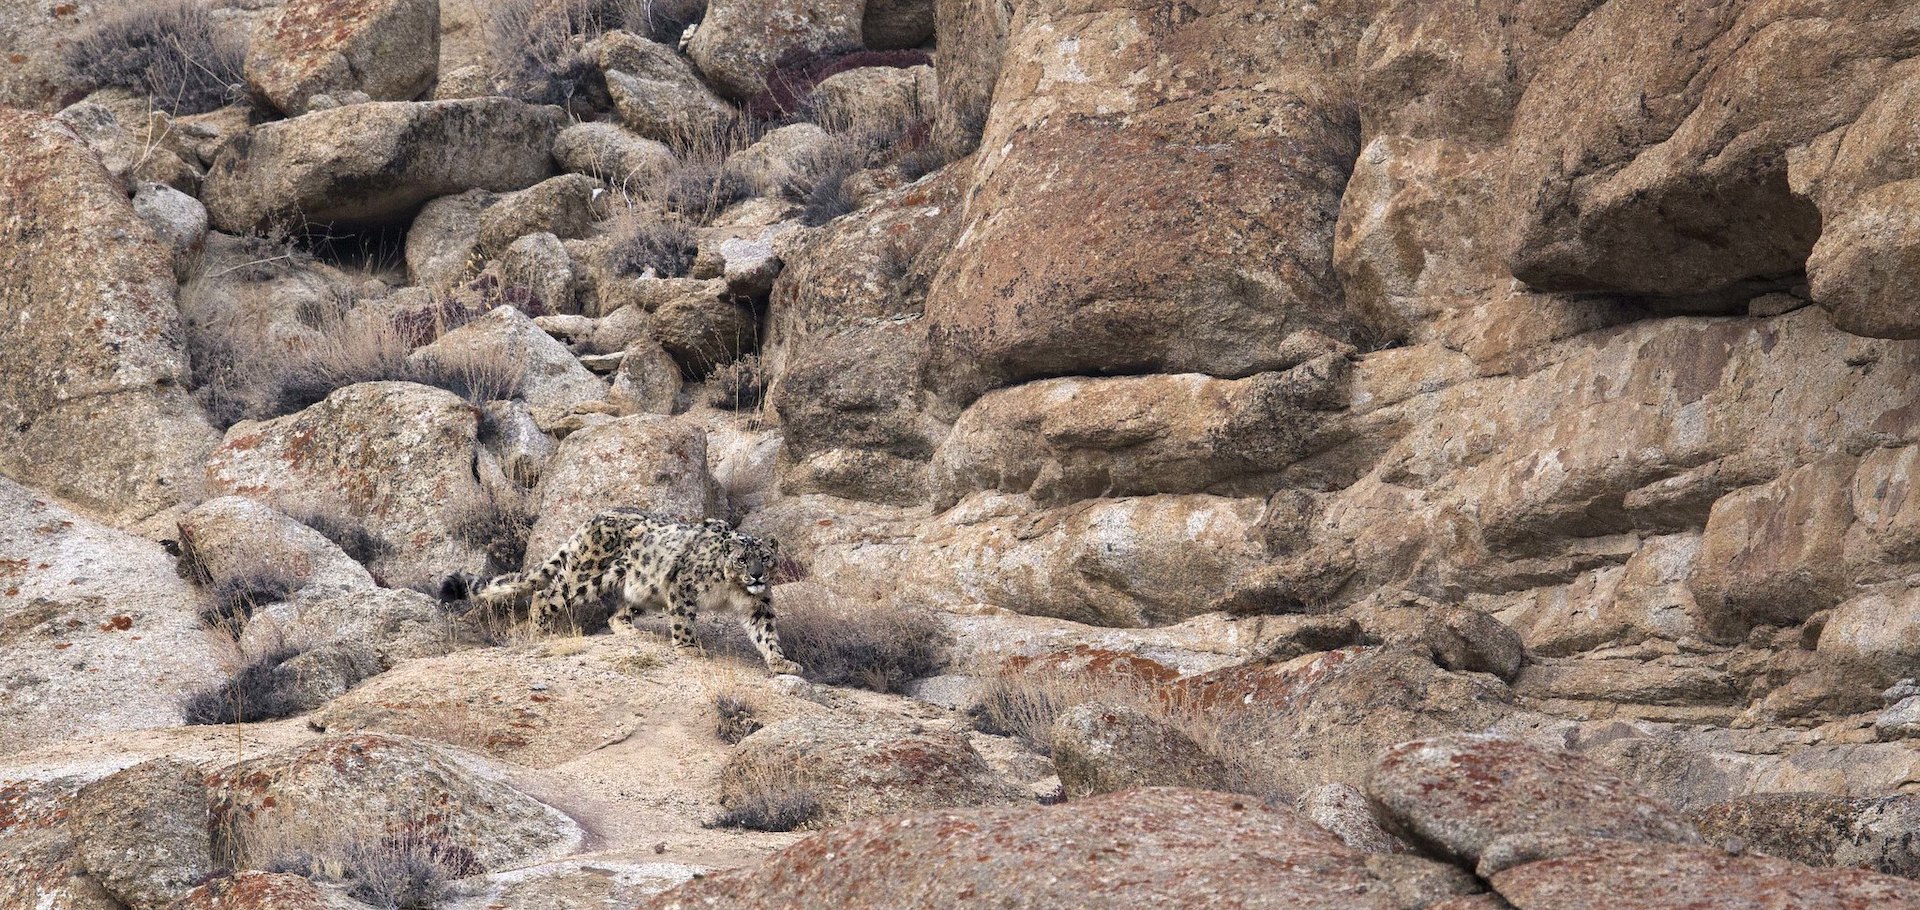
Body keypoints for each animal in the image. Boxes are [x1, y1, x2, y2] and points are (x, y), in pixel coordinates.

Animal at [442, 508, 802, 674]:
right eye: (742, 559)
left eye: (765, 558)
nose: (756, 575)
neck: (734, 590)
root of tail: (595, 517)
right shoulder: (684, 586)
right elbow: (684, 620)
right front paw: (688, 648)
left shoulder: (758, 605)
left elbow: (766, 633)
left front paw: (782, 662)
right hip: (587, 577)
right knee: (547, 595)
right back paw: (542, 632)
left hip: (644, 589)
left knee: (617, 615)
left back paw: (634, 633)